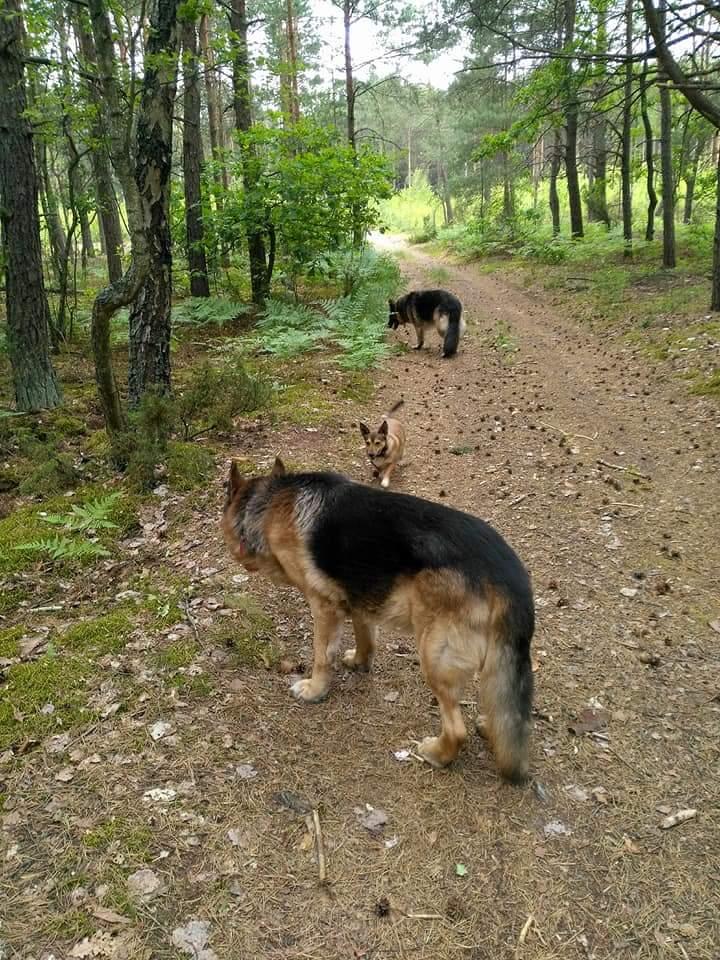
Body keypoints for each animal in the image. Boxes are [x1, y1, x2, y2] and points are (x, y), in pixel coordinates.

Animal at [222, 459, 534, 782]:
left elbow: (322, 655)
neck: (271, 502)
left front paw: (314, 689)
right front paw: (360, 662)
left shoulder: (323, 607)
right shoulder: (358, 598)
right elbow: (365, 636)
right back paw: (492, 727)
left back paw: (437, 754)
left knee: (456, 729)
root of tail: (508, 576)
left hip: (434, 657)